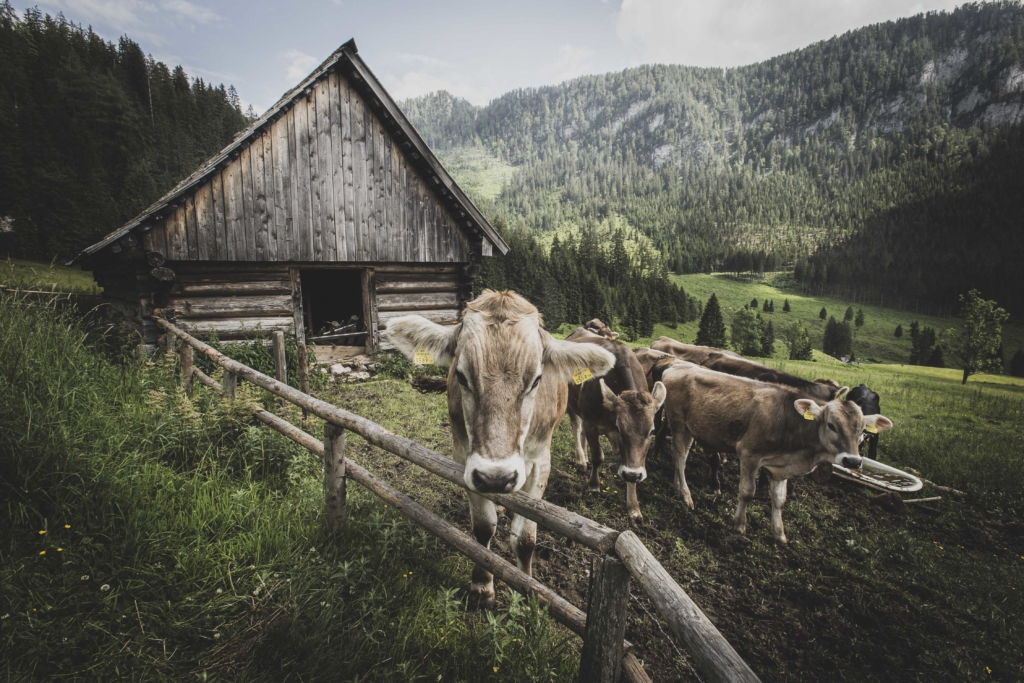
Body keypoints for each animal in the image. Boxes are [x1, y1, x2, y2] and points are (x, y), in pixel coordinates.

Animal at [385, 290, 614, 606]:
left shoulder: (540, 461)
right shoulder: (466, 461)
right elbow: (483, 526)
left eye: (537, 379)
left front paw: (527, 587)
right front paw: (482, 585)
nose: (497, 477)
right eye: (461, 375)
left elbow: (526, 538)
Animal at [569, 327, 663, 520]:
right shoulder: (591, 424)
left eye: (652, 431)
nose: (633, 474)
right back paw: (581, 459)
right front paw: (594, 486)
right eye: (619, 429)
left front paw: (633, 506)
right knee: (576, 426)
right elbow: (598, 456)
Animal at [663, 366, 888, 540]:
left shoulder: (780, 466)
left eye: (861, 431)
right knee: (680, 458)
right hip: (679, 425)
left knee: (679, 456)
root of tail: (675, 368)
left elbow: (780, 499)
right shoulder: (749, 455)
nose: (853, 461)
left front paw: (779, 534)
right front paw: (739, 525)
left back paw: (676, 487)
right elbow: (747, 492)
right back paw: (686, 495)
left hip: (690, 429)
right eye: (831, 425)